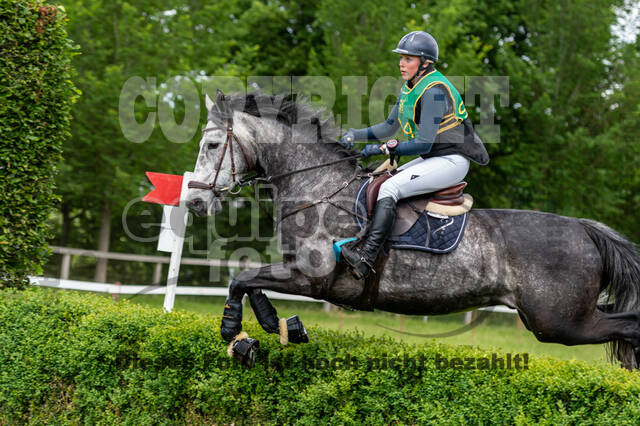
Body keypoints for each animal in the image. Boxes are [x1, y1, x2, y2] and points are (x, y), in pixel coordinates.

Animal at [185, 90, 640, 370]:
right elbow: (248, 282)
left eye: (212, 145)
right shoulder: (295, 272)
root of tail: (584, 229)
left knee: (629, 325)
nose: (194, 202)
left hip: (558, 322)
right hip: (557, 319)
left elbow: (242, 279)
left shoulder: (312, 278)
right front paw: (274, 325)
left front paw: (236, 335)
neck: (316, 185)